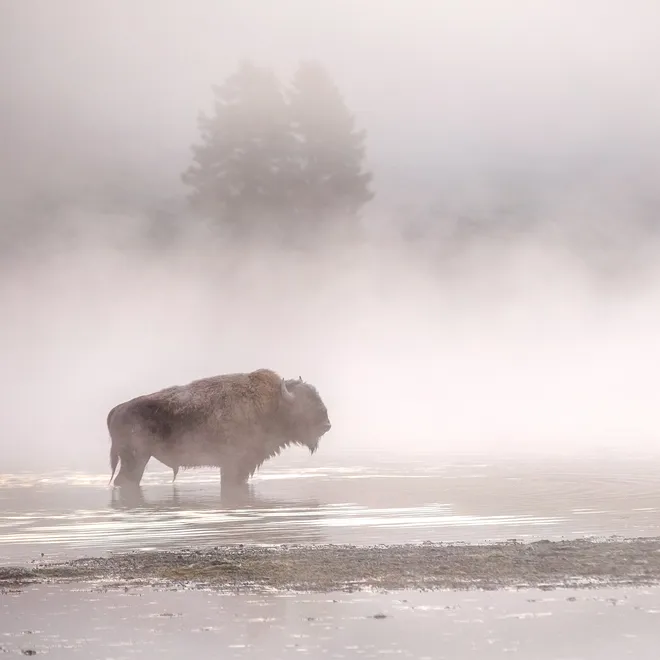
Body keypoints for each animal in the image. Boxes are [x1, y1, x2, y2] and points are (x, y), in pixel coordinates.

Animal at [107, 368, 331, 489]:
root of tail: (118, 409)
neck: (272, 405)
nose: (327, 425)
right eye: (305, 404)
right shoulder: (233, 465)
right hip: (136, 459)